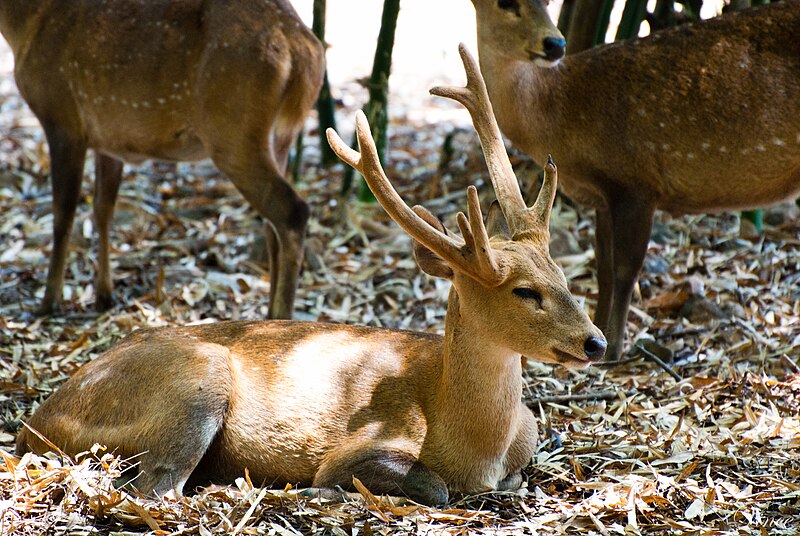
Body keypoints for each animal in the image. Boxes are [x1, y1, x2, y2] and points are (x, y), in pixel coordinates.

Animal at [0, 0, 324, 318]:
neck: (25, 23)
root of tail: (303, 48)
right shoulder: (108, 139)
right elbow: (103, 209)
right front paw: (104, 296)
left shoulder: (62, 118)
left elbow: (63, 214)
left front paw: (47, 303)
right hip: (278, 137)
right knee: (272, 224)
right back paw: (270, 315)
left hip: (233, 131)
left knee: (292, 212)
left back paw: (281, 316)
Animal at [14, 47, 608, 506]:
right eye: (523, 292)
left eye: (565, 276)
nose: (595, 341)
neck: (478, 446)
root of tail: (32, 424)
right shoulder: (362, 444)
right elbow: (430, 485)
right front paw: (323, 487)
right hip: (194, 383)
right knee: (157, 488)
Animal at [468, 1, 800, 360]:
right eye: (506, 4)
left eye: (547, 3)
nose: (555, 43)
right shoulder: (602, 198)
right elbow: (603, 267)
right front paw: (599, 328)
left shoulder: (635, 182)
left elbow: (626, 270)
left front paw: (613, 347)